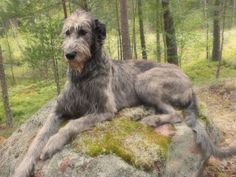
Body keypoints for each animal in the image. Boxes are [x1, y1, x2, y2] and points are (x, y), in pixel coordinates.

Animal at [14, 10, 236, 177]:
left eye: (83, 32)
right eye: (67, 33)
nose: (69, 54)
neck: (83, 75)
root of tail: (189, 82)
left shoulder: (103, 109)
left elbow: (73, 124)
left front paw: (53, 142)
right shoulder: (58, 110)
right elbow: (38, 138)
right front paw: (23, 166)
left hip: (145, 81)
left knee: (175, 114)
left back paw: (152, 120)